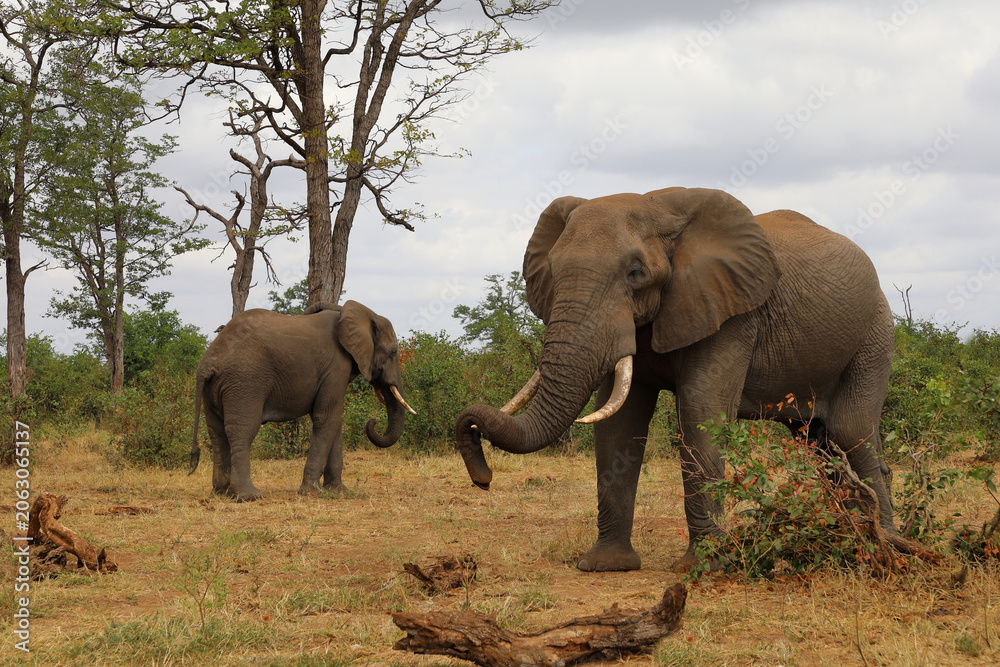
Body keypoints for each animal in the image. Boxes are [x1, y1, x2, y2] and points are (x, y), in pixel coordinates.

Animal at [190, 300, 415, 501]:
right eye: (393, 352)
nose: (373, 421)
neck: (348, 312)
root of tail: (208, 361)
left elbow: (334, 422)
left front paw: (339, 492)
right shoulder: (336, 366)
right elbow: (326, 417)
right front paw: (312, 493)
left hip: (216, 388)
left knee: (217, 433)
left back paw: (222, 493)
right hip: (244, 382)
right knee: (242, 431)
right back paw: (249, 496)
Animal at [455, 187, 895, 573]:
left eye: (636, 273)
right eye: (552, 270)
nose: (483, 478)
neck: (659, 209)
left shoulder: (732, 314)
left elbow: (701, 414)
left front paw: (703, 568)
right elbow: (617, 425)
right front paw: (605, 566)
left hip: (875, 333)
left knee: (850, 432)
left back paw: (884, 549)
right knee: (819, 442)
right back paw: (850, 540)